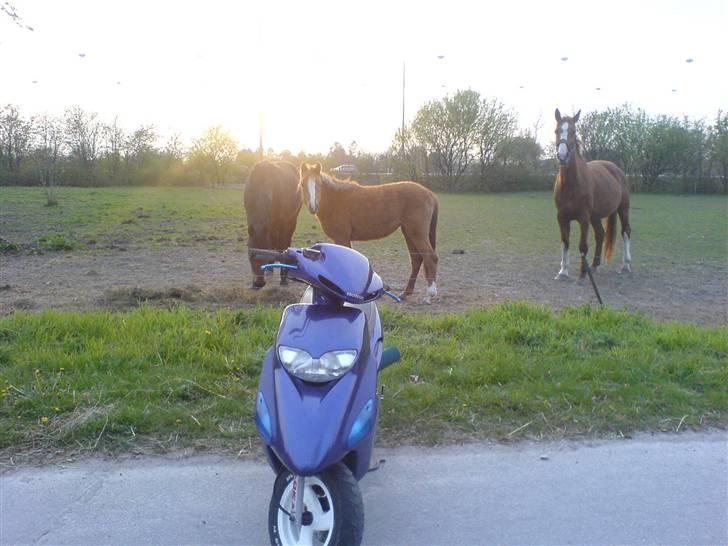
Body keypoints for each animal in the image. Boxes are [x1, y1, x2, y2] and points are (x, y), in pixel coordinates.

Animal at [300, 162, 438, 306]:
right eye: (302, 184)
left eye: (319, 184)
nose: (313, 207)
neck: (337, 201)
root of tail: (429, 193)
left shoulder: (341, 238)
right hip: (409, 232)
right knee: (416, 259)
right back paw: (406, 293)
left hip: (417, 234)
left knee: (430, 258)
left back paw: (429, 295)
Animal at [556, 108, 628, 278]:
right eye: (556, 130)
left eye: (573, 131)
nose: (562, 156)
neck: (571, 185)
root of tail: (616, 169)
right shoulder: (562, 217)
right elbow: (565, 242)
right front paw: (563, 271)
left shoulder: (584, 218)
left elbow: (583, 246)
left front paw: (583, 274)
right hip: (595, 216)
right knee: (600, 234)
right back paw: (595, 265)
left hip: (623, 209)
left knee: (626, 232)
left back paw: (626, 265)